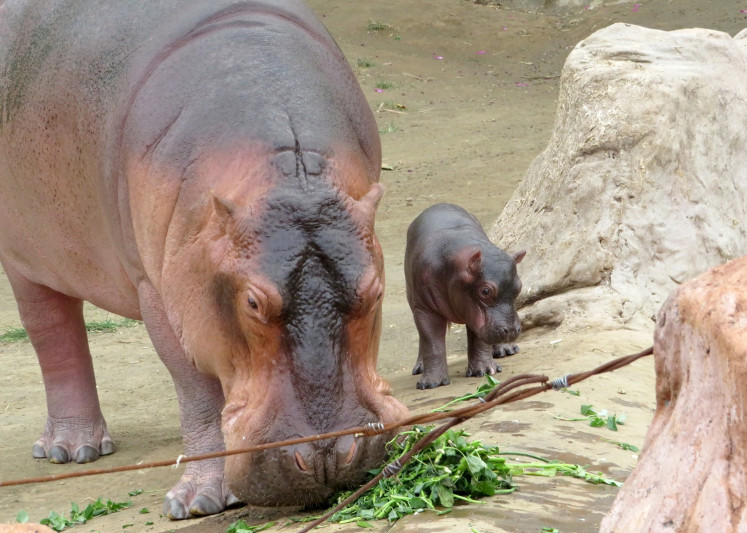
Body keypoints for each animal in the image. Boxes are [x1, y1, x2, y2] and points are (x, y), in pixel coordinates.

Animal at [0, 0, 408, 519]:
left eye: (375, 291)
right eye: (252, 303)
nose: (326, 455)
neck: (286, 176)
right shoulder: (164, 296)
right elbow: (197, 392)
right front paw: (197, 504)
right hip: (25, 256)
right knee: (52, 332)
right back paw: (73, 450)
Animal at [405, 204, 525, 389]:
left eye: (519, 287)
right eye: (485, 291)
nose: (512, 330)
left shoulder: (473, 311)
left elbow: (478, 338)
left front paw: (485, 371)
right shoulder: (424, 308)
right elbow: (431, 341)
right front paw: (431, 383)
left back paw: (506, 350)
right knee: (422, 337)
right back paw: (420, 367)